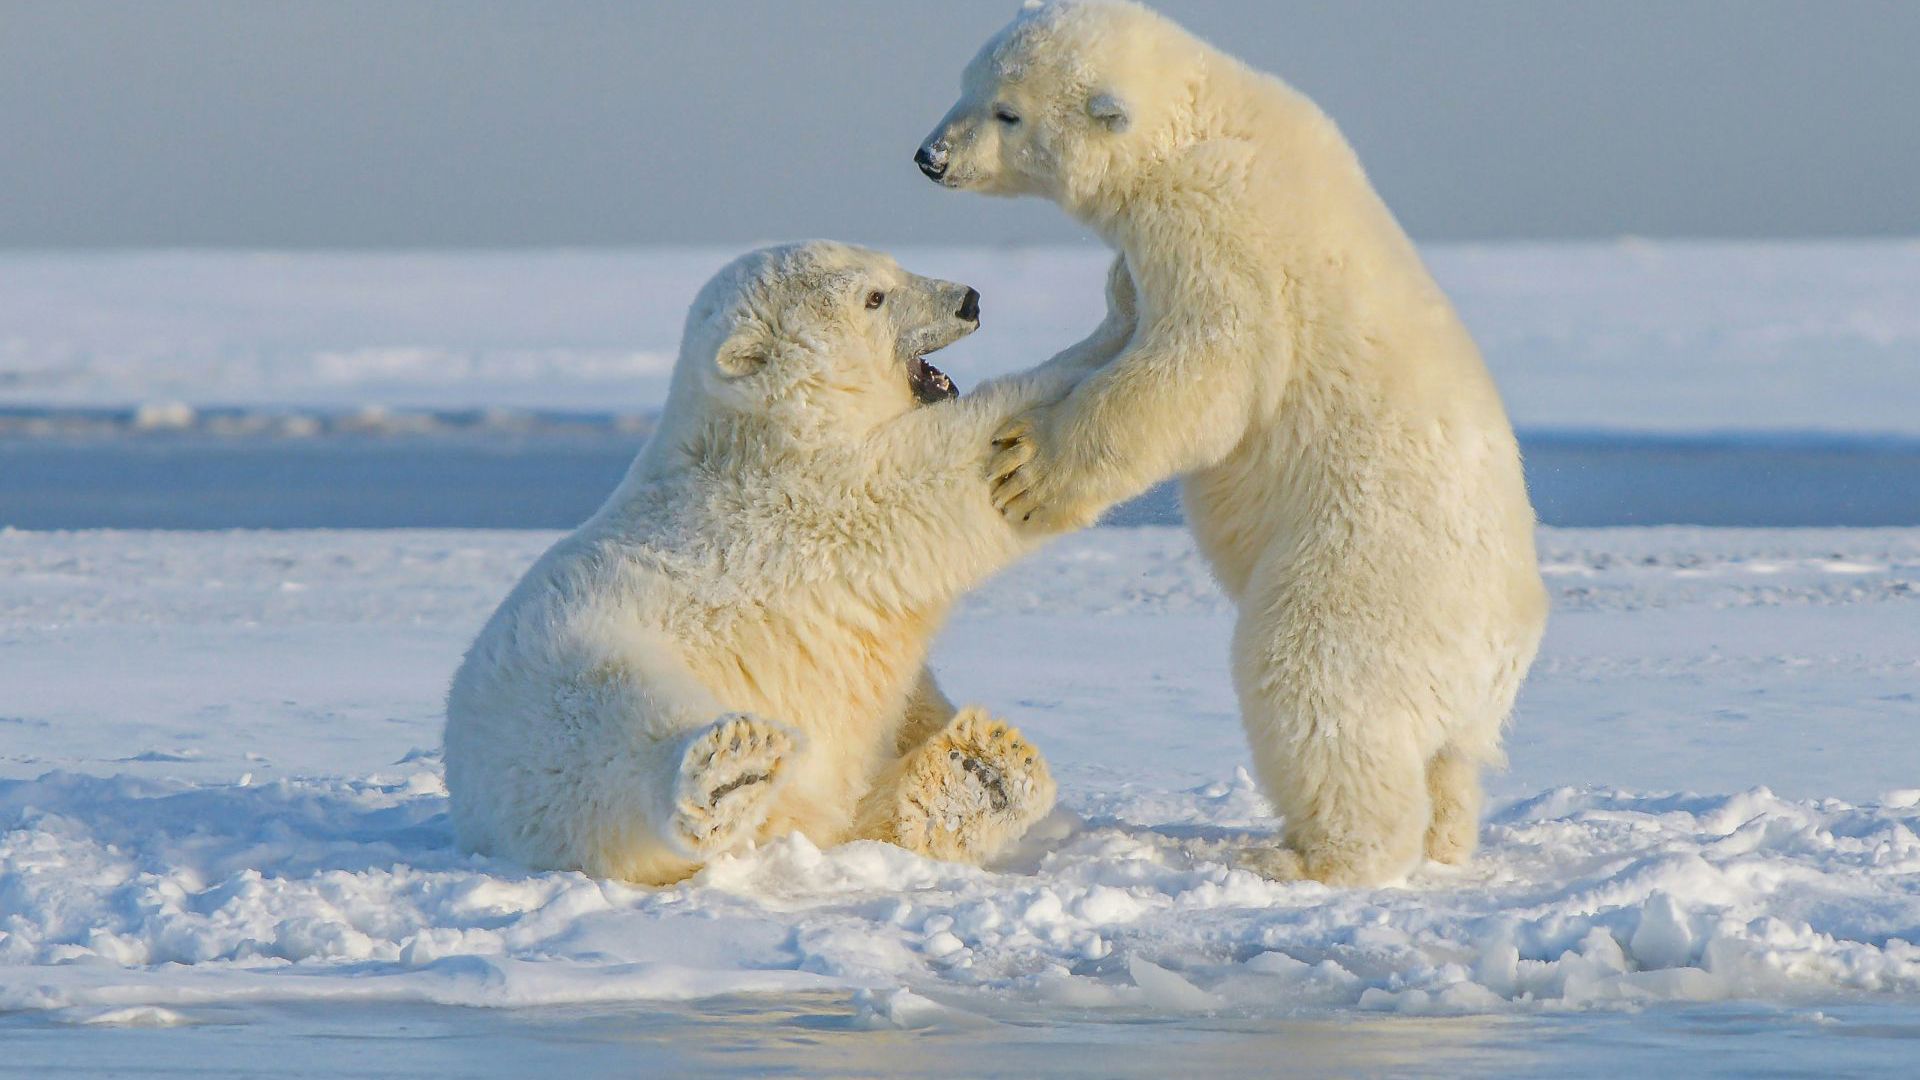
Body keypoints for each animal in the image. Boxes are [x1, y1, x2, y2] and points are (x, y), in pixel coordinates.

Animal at [443, 241, 1130, 884]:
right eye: (874, 297)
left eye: (892, 264)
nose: (968, 299)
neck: (761, 431)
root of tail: (470, 798)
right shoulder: (813, 499)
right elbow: (945, 470)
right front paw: (1119, 327)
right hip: (567, 673)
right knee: (615, 726)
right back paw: (730, 771)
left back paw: (982, 770)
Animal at [916, 0, 1549, 886]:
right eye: (966, 83)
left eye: (1008, 112)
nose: (931, 157)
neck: (1205, 120)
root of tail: (1505, 648)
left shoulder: (1219, 230)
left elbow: (1201, 369)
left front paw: (1027, 470)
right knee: (1449, 760)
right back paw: (1444, 840)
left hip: (1366, 573)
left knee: (1314, 686)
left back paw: (1308, 857)